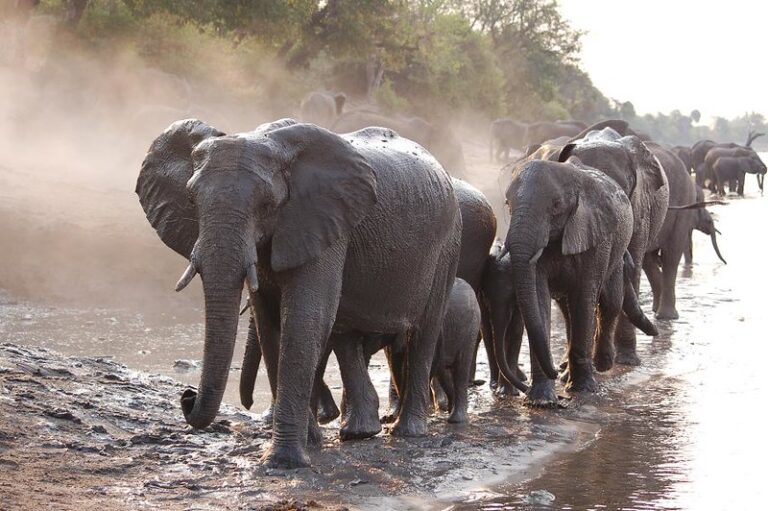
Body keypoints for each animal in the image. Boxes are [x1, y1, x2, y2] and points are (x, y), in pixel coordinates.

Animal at [136, 117, 462, 468]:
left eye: (267, 204)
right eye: (191, 201)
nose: (187, 395)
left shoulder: (324, 222)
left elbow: (306, 317)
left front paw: (283, 461)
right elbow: (270, 325)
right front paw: (310, 443)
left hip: (447, 244)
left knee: (424, 331)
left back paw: (407, 432)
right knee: (346, 335)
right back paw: (358, 433)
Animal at [488, 150, 656, 406]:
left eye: (556, 206)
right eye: (508, 205)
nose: (553, 371)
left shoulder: (596, 236)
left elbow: (585, 298)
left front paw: (583, 389)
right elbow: (539, 297)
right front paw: (541, 401)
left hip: (616, 249)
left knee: (610, 302)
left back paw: (601, 364)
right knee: (570, 311)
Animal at [640, 143, 728, 320]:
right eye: (708, 222)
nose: (726, 263)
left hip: (683, 199)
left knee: (669, 255)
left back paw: (663, 315)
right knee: (657, 258)